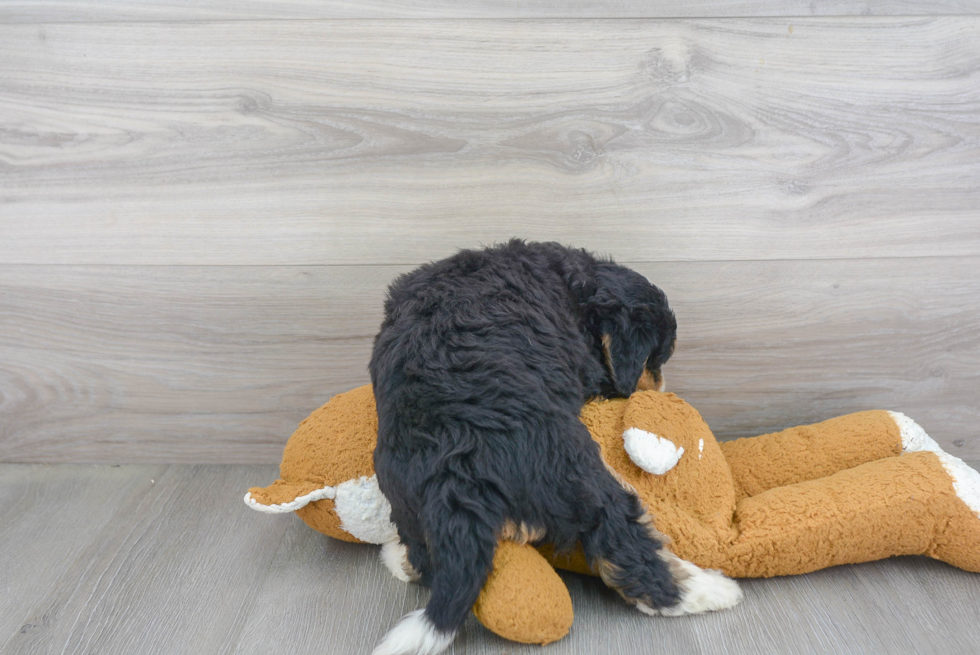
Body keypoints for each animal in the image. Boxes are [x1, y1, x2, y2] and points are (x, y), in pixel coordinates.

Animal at [372, 241, 740, 655]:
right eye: (656, 357)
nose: (661, 388)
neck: (572, 284)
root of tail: (455, 480)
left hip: (408, 504)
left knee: (423, 557)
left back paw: (396, 555)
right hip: (578, 474)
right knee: (625, 543)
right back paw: (710, 590)